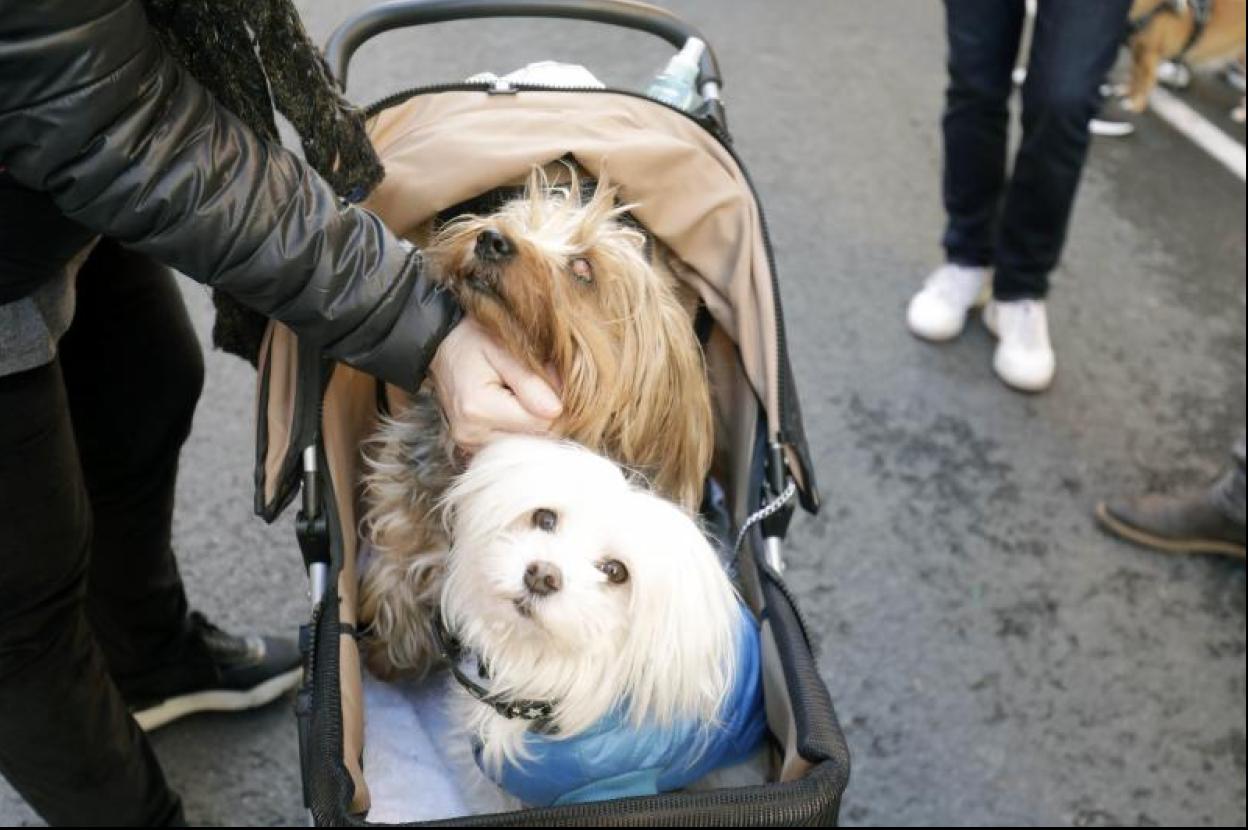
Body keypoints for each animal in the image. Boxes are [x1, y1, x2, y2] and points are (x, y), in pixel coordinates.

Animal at [359, 168, 713, 678]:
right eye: (518, 218)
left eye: (583, 269)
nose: (491, 239)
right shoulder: (403, 520)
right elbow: (395, 575)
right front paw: (389, 657)